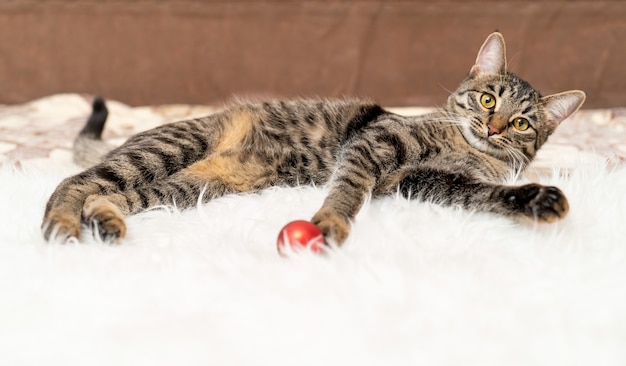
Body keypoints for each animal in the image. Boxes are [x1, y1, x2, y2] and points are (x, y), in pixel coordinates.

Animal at [42, 33, 584, 244]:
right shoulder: (376, 142)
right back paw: (64, 225)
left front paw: (534, 200)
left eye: (522, 124)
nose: (494, 126)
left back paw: (106, 220)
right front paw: (331, 222)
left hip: (185, 188)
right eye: (489, 100)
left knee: (110, 195)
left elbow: (486, 194)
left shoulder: (426, 182)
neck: (466, 146)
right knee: (73, 183)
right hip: (167, 150)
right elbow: (348, 191)